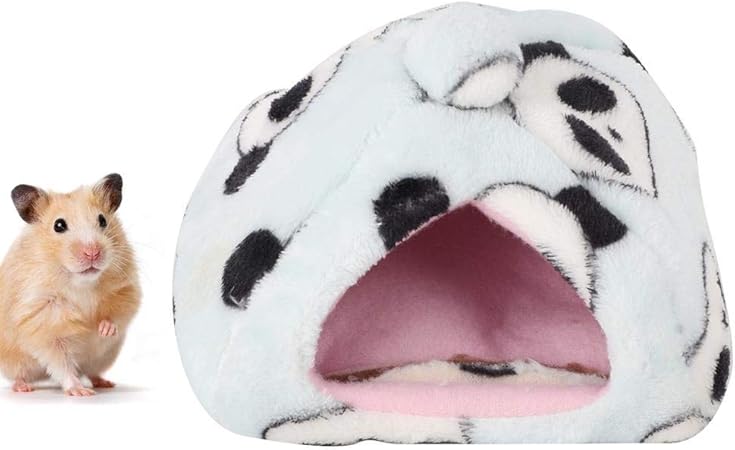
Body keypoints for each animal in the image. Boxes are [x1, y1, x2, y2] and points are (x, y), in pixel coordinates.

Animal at [0, 174, 140, 396]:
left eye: (102, 220)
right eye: (59, 225)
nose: (92, 253)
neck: (80, 282)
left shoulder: (126, 289)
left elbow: (117, 314)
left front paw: (102, 329)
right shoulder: (42, 320)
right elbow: (61, 362)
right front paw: (80, 392)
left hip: (102, 358)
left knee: (92, 372)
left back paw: (105, 383)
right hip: (14, 362)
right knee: (20, 375)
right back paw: (23, 387)